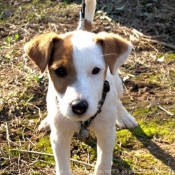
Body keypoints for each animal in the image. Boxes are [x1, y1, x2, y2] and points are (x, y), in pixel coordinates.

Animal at [23, 0, 137, 174]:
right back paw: (48, 121)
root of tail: (83, 30)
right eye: (60, 71)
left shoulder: (106, 134)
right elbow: (63, 167)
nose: (79, 107)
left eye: (96, 70)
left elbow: (103, 164)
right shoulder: (59, 137)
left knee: (118, 99)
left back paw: (124, 116)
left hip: (117, 83)